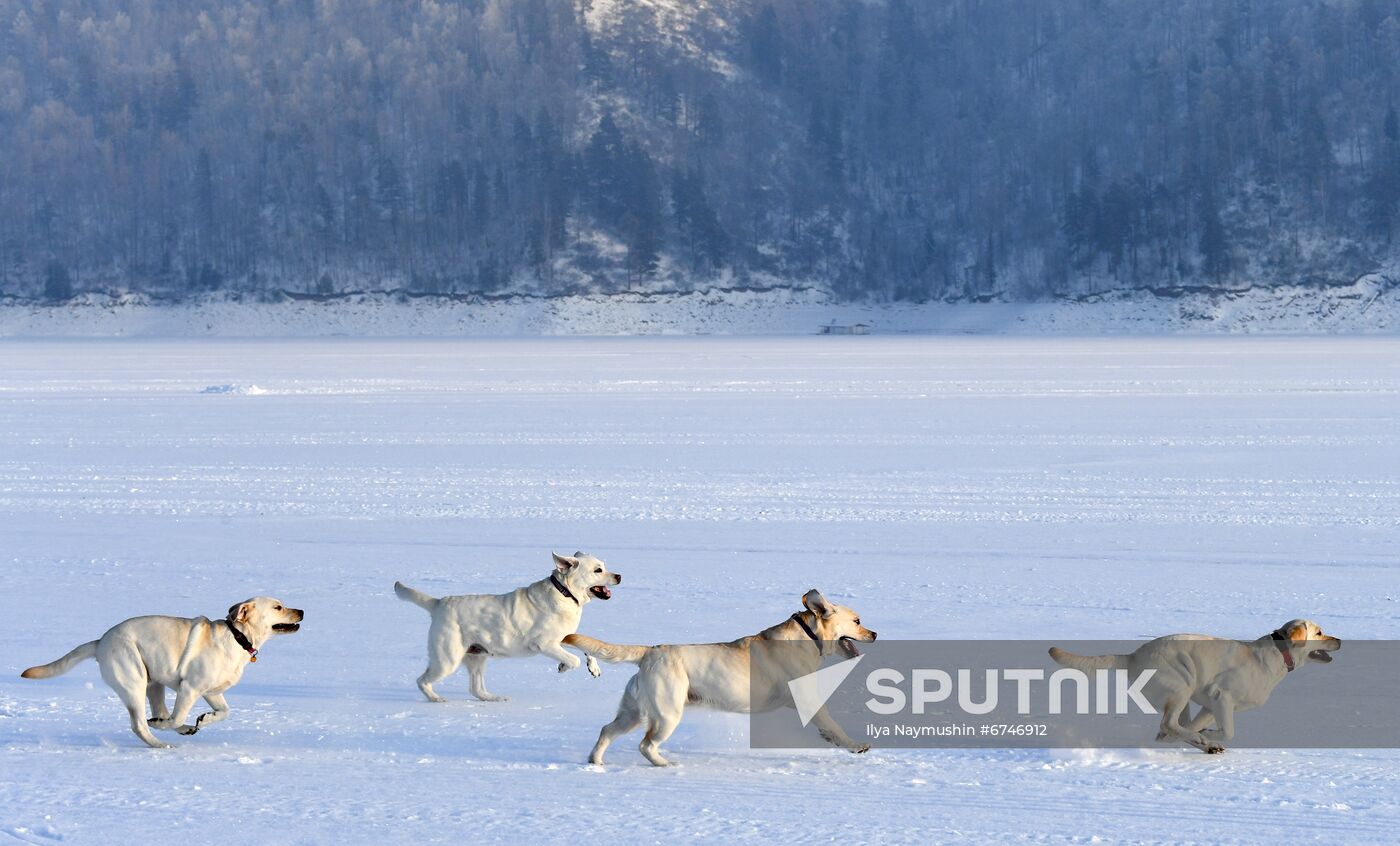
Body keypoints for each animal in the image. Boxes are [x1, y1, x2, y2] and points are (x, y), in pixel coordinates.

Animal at [19, 593, 305, 745]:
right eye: (278, 607)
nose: (301, 610)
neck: (238, 637)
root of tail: (100, 642)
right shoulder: (189, 688)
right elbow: (176, 717)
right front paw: (175, 724)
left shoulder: (212, 692)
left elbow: (225, 712)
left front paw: (204, 719)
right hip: (133, 681)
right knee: (141, 724)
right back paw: (160, 742)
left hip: (153, 683)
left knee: (159, 712)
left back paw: (176, 727)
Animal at [389, 551, 618, 703]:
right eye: (598, 570)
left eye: (604, 566)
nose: (619, 576)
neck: (564, 591)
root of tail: (439, 603)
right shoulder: (545, 644)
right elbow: (574, 659)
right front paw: (564, 665)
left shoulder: (564, 636)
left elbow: (585, 648)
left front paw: (593, 667)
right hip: (447, 659)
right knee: (422, 680)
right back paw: (436, 699)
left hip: (476, 657)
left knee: (476, 689)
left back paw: (494, 698)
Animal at [560, 588, 873, 767]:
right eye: (858, 621)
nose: (875, 633)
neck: (808, 636)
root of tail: (650, 652)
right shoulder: (808, 700)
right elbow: (835, 725)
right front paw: (855, 746)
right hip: (667, 714)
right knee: (645, 744)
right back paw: (665, 764)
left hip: (633, 711)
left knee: (607, 730)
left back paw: (595, 761)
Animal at [1047, 613, 1338, 750]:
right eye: (1320, 632)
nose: (1340, 640)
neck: (1278, 654)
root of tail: (1133, 656)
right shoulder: (1222, 696)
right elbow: (1227, 731)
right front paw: (1208, 735)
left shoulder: (1210, 705)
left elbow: (1196, 726)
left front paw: (1204, 736)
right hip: (1180, 686)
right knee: (1168, 723)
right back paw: (1201, 741)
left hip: (1184, 693)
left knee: (1171, 727)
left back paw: (1200, 743)